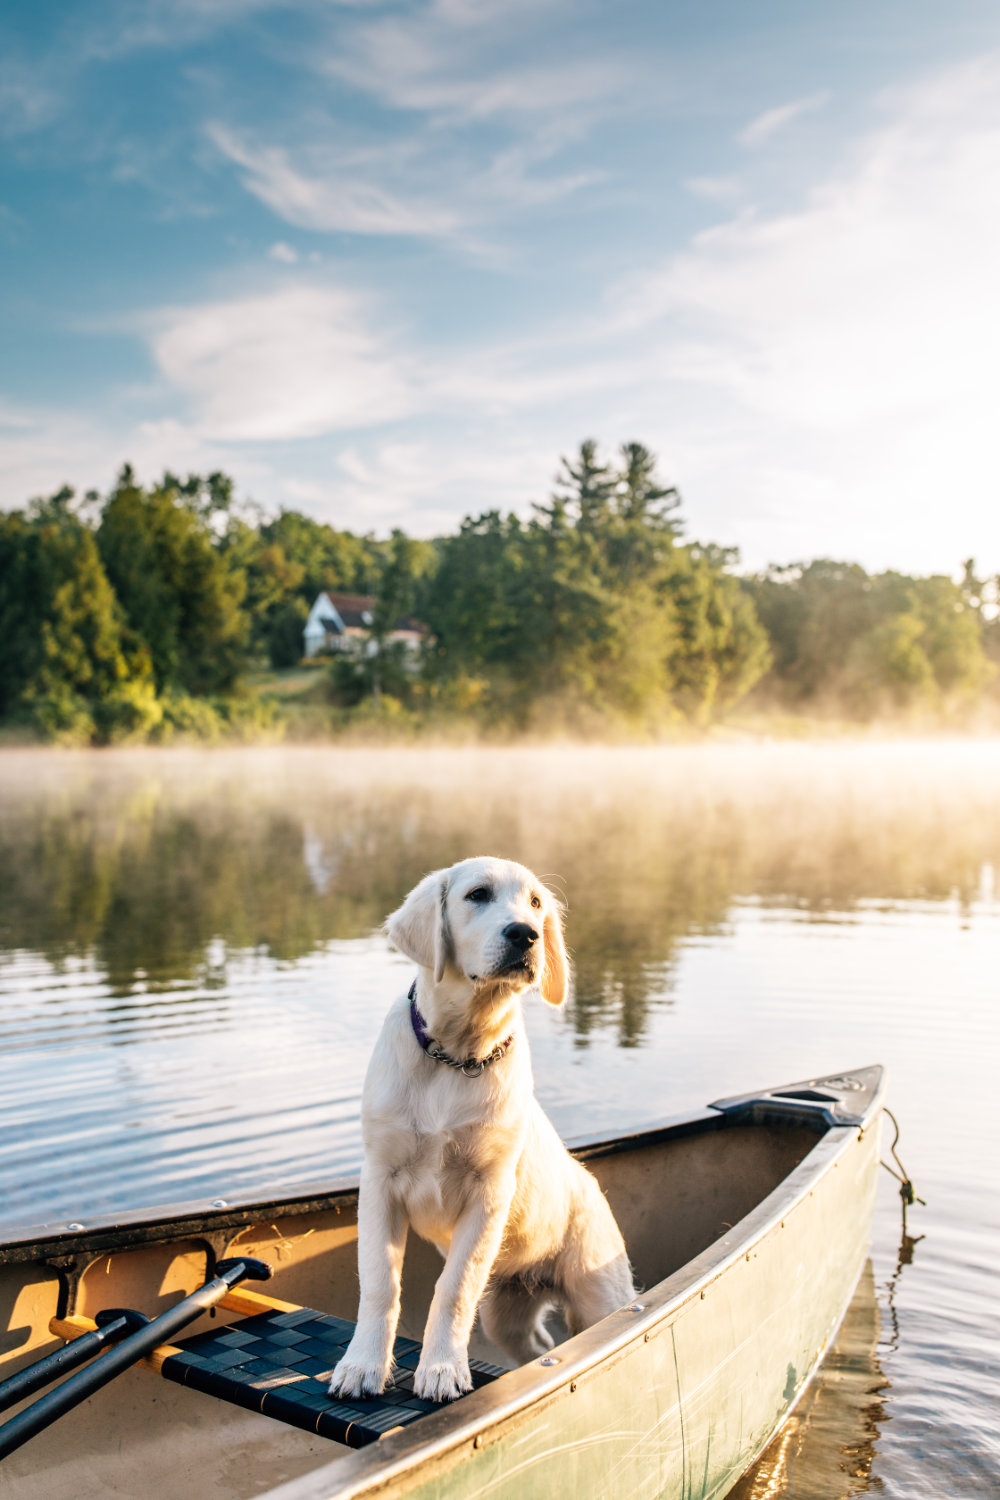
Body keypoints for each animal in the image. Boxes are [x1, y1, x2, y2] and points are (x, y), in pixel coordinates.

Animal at [332, 858, 638, 1404]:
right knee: (538, 1345)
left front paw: (440, 1368)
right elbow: (380, 1283)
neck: (456, 1055)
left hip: (600, 1296)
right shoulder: (380, 1180)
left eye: (535, 903)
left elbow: (453, 1288)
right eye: (477, 895)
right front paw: (362, 1364)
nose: (525, 934)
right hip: (505, 1310)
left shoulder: (489, 1191)